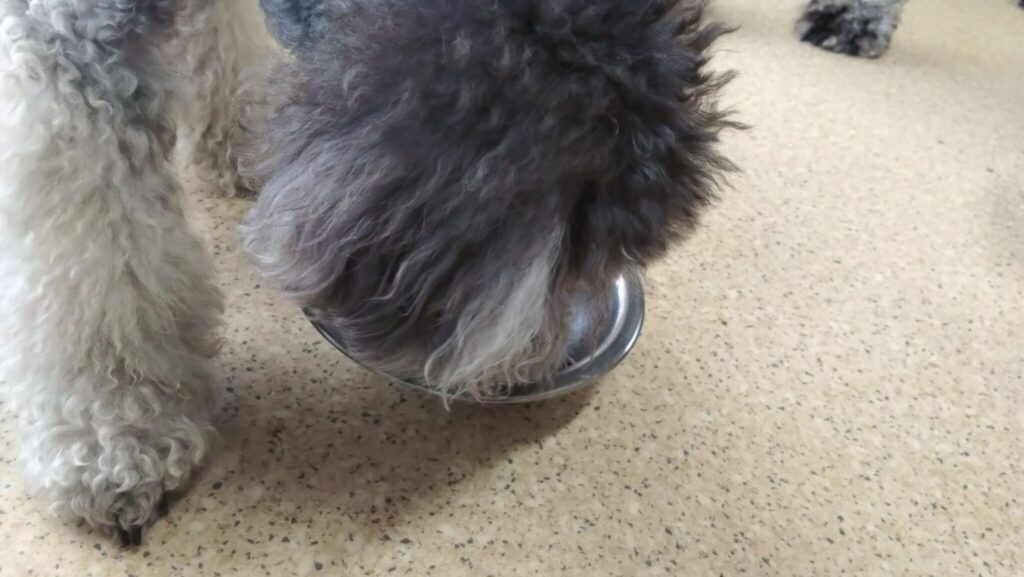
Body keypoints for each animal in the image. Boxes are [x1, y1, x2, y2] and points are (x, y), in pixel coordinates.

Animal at [0, 0, 735, 543]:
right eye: (578, 254)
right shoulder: (63, 44)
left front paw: (242, 130)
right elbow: (97, 257)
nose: (536, 365)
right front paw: (119, 433)